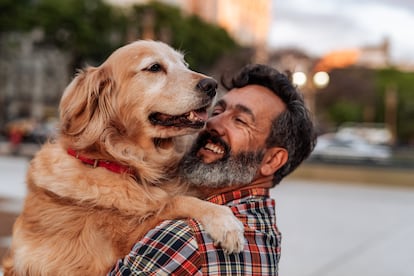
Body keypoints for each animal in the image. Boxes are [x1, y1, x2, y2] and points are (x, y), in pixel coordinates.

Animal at [1, 40, 244, 274]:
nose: (211, 85)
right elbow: (174, 202)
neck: (121, 163)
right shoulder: (110, 252)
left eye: (184, 64)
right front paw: (226, 222)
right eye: (154, 67)